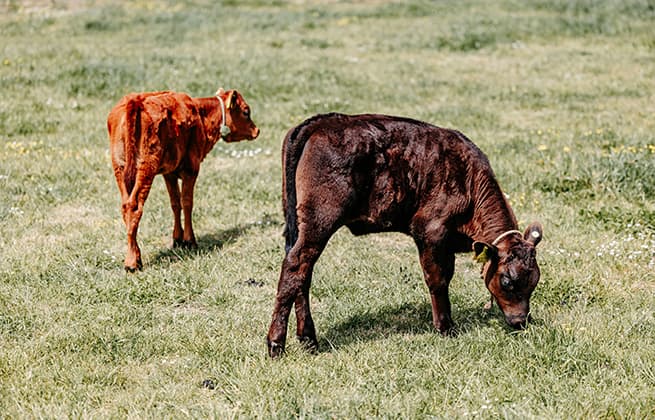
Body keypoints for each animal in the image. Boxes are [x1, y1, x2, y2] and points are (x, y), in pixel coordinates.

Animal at [108, 89, 259, 271]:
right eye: (246, 111)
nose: (257, 130)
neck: (200, 114)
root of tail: (135, 101)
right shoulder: (191, 170)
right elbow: (187, 202)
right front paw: (189, 240)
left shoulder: (169, 173)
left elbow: (175, 203)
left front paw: (177, 239)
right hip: (146, 169)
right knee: (134, 206)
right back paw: (132, 262)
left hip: (120, 168)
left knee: (125, 206)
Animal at [266, 113, 543, 357]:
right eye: (507, 281)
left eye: (534, 282)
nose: (520, 321)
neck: (469, 183)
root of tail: (322, 121)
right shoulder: (430, 231)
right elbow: (438, 279)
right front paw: (445, 328)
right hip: (320, 219)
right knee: (295, 266)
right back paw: (276, 344)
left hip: (298, 223)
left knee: (302, 274)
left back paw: (308, 340)